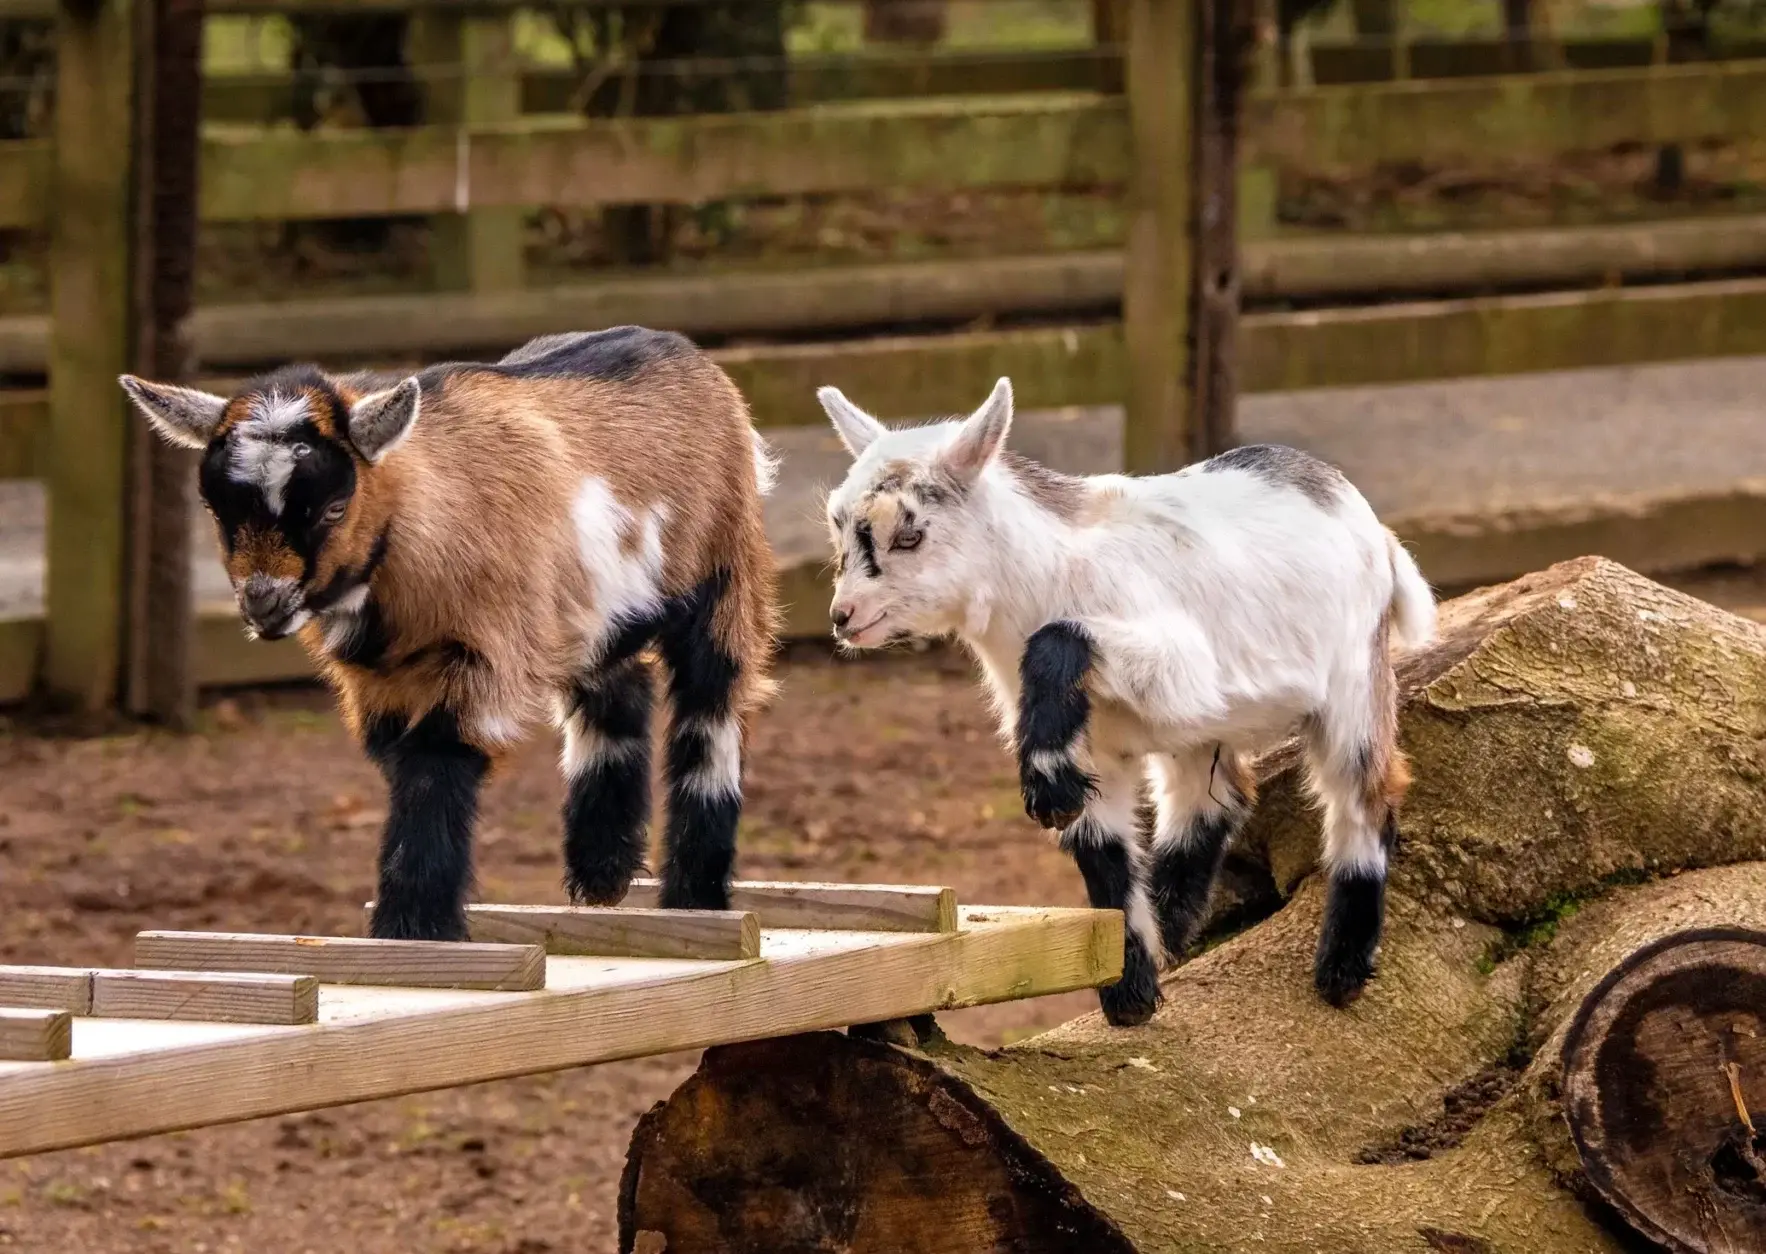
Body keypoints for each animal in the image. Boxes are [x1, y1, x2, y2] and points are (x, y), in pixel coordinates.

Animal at [121, 328, 779, 940]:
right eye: (219, 512)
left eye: (333, 508)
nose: (264, 601)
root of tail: (687, 353)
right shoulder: (379, 682)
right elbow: (402, 763)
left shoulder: (485, 653)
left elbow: (436, 761)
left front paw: (412, 926)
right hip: (588, 614)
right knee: (619, 692)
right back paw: (601, 873)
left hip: (726, 570)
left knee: (712, 711)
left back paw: (694, 897)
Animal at [815, 377, 1435, 1026]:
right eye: (838, 528)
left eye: (909, 535)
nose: (844, 617)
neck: (1048, 575)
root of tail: (1367, 520)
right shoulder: (1098, 746)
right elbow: (1104, 855)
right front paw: (1130, 993)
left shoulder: (1181, 666)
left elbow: (1058, 639)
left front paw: (1047, 788)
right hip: (1203, 732)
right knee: (1214, 798)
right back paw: (1173, 928)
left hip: (1352, 680)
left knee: (1364, 794)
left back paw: (1342, 971)